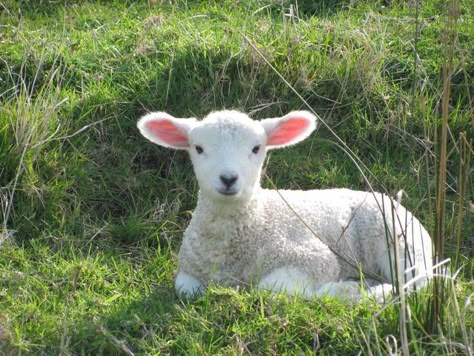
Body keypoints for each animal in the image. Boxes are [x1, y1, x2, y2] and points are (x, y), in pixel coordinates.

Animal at [137, 110, 434, 302]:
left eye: (256, 148)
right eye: (198, 148)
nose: (229, 179)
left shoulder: (315, 258)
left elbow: (270, 289)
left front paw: (343, 290)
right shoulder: (189, 271)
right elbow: (186, 289)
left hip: (402, 244)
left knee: (415, 284)